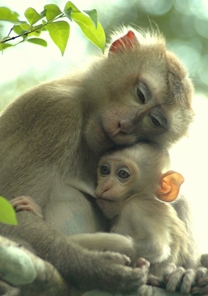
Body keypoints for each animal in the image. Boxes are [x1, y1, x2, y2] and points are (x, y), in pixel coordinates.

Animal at [0, 27, 205, 294]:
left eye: (155, 121)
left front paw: (189, 271)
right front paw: (99, 268)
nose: (124, 126)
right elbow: (9, 214)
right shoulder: (53, 111)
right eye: (141, 94)